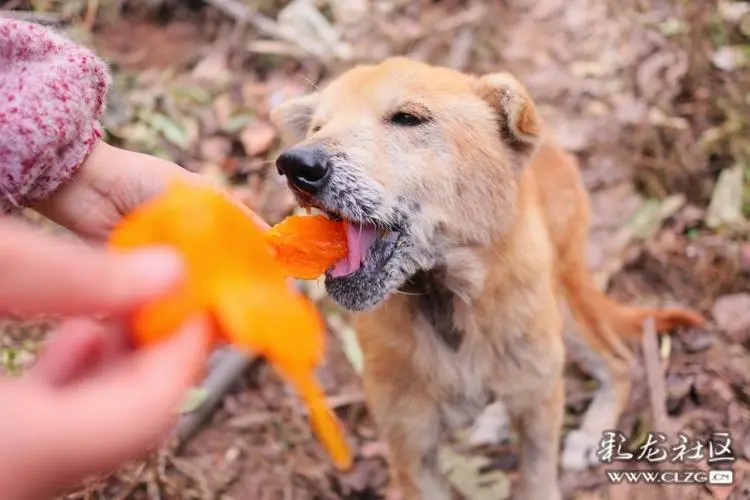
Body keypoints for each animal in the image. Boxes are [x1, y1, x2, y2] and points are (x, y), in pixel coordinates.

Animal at [268, 59, 704, 500]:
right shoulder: (410, 443)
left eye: (407, 117)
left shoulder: (539, 411)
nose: (295, 165)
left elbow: (538, 481)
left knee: (619, 361)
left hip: (563, 303)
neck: (447, 304)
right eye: (317, 128)